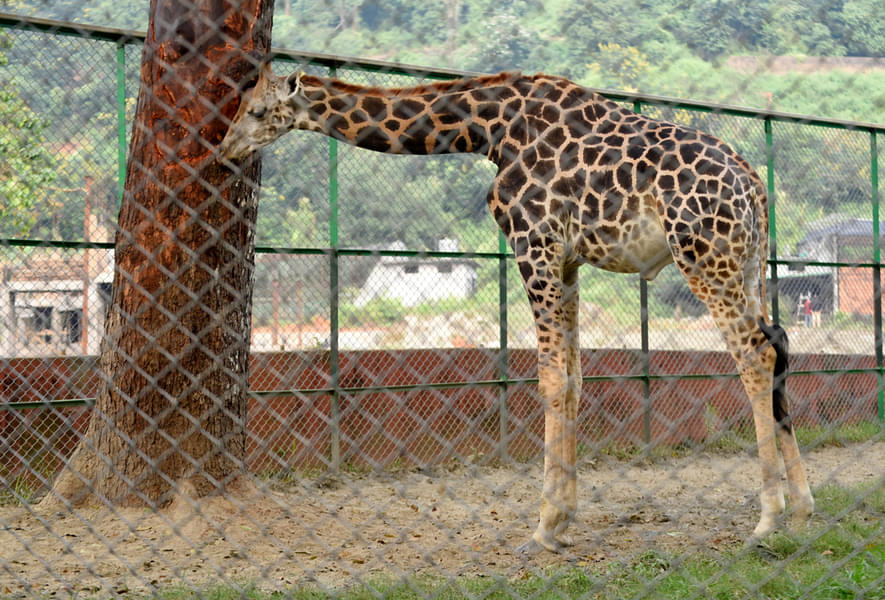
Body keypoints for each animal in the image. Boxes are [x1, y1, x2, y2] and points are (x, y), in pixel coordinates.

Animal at [218, 64, 812, 552]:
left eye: (255, 110)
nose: (225, 150)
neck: (487, 128)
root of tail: (754, 185)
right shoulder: (568, 260)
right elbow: (573, 378)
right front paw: (564, 518)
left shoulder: (534, 242)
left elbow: (549, 378)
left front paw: (544, 525)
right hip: (746, 262)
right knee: (779, 344)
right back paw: (804, 508)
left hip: (704, 258)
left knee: (754, 357)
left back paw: (767, 518)